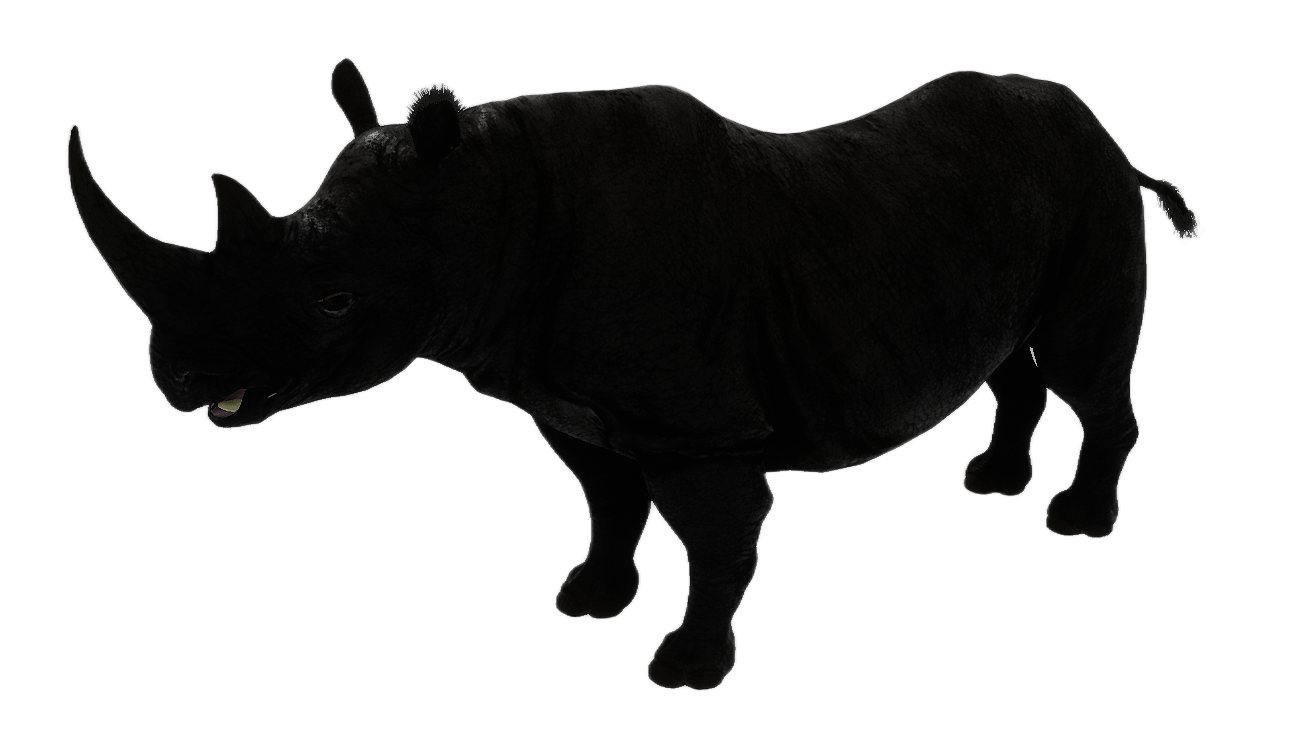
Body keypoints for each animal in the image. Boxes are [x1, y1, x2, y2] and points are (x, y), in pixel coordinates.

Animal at [66, 57, 1204, 690]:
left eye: (335, 301)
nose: (177, 379)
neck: (491, 201)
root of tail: (1112, 131)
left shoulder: (699, 421)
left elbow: (715, 538)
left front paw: (686, 668)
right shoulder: (567, 401)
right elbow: (607, 502)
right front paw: (587, 601)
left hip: (1094, 187)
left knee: (1081, 367)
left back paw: (1075, 522)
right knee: (1011, 358)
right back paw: (992, 485)